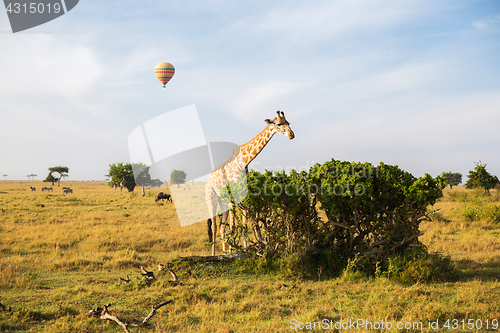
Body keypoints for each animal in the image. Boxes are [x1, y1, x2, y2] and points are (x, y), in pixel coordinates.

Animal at [205, 111, 294, 254]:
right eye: (279, 124)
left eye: (288, 122)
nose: (292, 135)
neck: (245, 161)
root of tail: (207, 181)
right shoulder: (233, 196)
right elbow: (233, 226)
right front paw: (233, 252)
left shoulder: (243, 195)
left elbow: (244, 224)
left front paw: (244, 250)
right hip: (211, 198)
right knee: (214, 227)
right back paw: (214, 254)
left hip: (222, 201)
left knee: (222, 227)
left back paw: (223, 252)